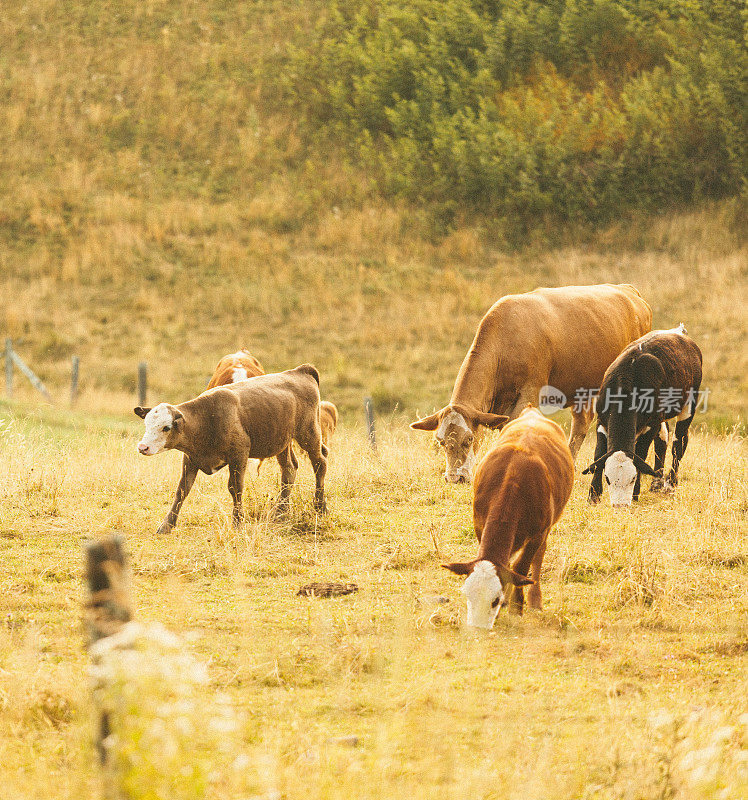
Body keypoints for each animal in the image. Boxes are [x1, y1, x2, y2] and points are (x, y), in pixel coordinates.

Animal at [134, 366, 328, 536]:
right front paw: (167, 525)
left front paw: (237, 522)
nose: (143, 447)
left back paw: (320, 507)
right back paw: (281, 513)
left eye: (166, 427)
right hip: (282, 441)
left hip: (308, 434)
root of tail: (300, 370)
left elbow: (235, 488)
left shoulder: (239, 455)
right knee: (289, 469)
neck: (206, 419)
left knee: (320, 463)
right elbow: (182, 490)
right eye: (147, 424)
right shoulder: (190, 459)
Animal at [412, 282, 652, 482]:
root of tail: (629, 290)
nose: (455, 477)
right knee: (581, 425)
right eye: (441, 441)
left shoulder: (531, 391)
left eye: (469, 439)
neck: (506, 340)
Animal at [442, 410, 576, 628]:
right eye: (467, 595)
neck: (511, 479)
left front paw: (516, 606)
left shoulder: (538, 534)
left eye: (495, 600)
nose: (477, 628)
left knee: (538, 558)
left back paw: (535, 599)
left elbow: (521, 567)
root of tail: (531, 411)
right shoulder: (479, 524)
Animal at [584, 324, 700, 506]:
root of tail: (679, 332)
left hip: (689, 404)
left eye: (632, 478)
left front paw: (635, 493)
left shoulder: (651, 424)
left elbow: (641, 453)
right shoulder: (601, 421)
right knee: (662, 440)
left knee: (678, 443)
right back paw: (656, 483)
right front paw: (594, 495)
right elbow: (599, 454)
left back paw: (670, 484)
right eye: (608, 478)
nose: (620, 505)